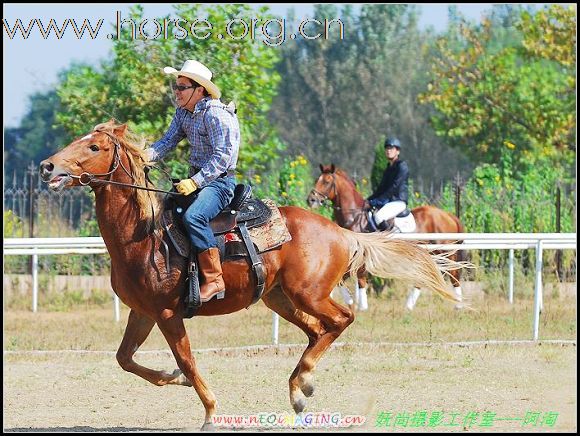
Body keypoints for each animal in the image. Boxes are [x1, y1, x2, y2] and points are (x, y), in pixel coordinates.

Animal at [306, 164, 464, 310]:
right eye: (317, 179)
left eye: (326, 181)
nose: (311, 200)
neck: (355, 217)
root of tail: (449, 215)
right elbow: (341, 278)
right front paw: (350, 302)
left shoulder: (361, 257)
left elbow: (358, 279)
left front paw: (361, 307)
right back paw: (409, 306)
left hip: (445, 252)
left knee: (453, 275)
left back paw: (458, 305)